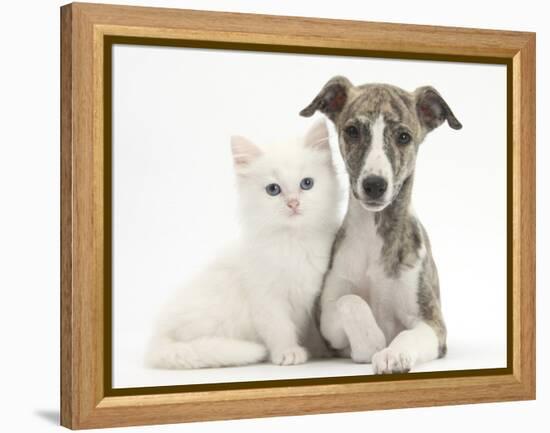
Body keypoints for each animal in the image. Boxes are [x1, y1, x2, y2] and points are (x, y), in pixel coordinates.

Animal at [149, 120, 342, 366]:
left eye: (307, 183)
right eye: (273, 189)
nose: (293, 203)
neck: (294, 241)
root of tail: (157, 338)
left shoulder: (311, 298)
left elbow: (312, 330)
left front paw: (320, 350)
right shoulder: (266, 299)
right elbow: (280, 328)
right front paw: (288, 352)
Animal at [300, 76, 464, 372]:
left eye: (404, 137)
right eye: (352, 131)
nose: (374, 185)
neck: (374, 235)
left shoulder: (433, 323)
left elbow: (407, 335)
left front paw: (392, 355)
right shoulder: (326, 319)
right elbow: (350, 301)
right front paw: (372, 342)